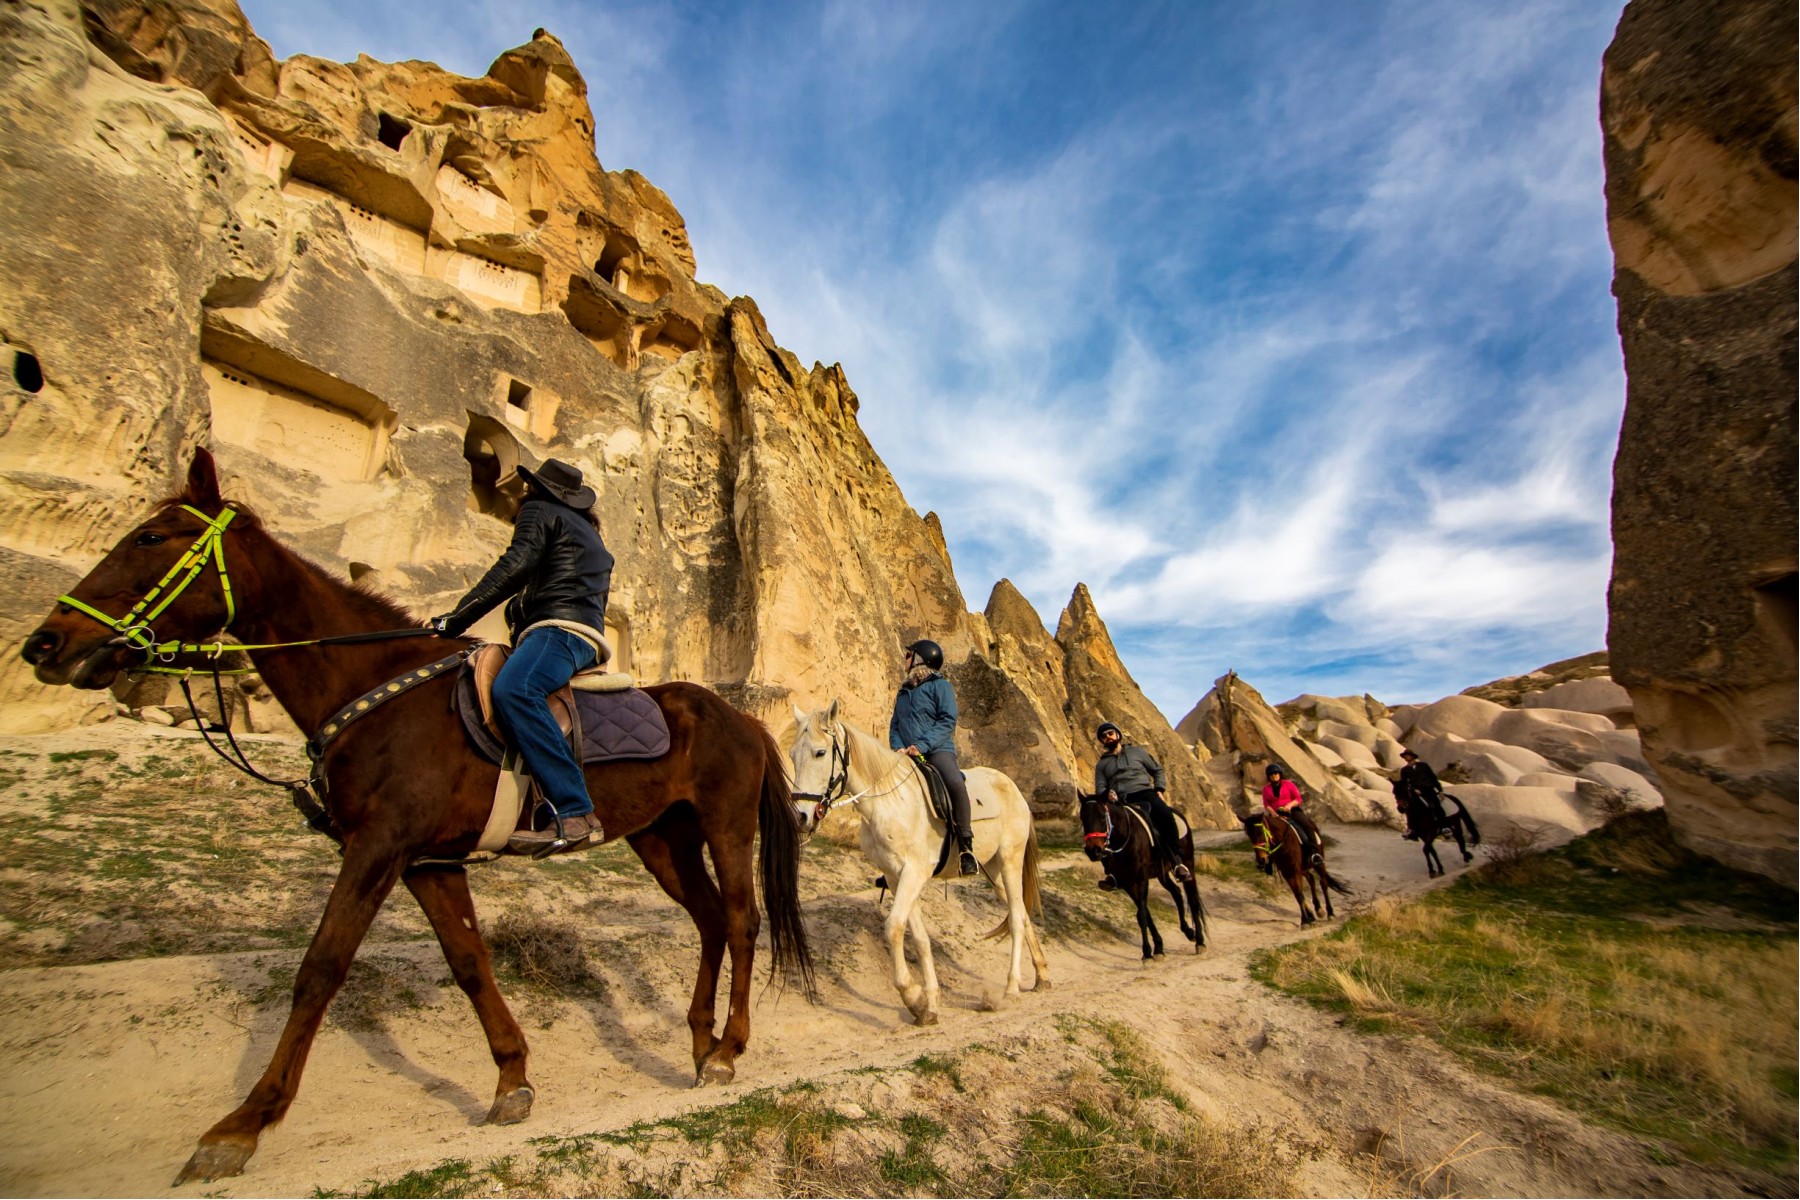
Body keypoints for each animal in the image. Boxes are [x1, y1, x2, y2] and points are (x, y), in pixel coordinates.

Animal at [12, 449, 817, 1180]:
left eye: (151, 537)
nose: (45, 642)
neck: (375, 686)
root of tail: (743, 717)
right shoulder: (428, 862)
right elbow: (469, 964)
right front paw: (511, 1080)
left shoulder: (377, 848)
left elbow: (321, 967)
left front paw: (244, 1123)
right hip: (661, 838)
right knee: (708, 921)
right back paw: (699, 1045)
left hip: (724, 826)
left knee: (741, 921)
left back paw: (728, 1050)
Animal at [792, 698, 1051, 1029]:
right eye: (792, 755)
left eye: (820, 753)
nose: (801, 817)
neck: (888, 802)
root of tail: (1012, 788)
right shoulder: (896, 877)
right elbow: (919, 938)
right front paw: (929, 1005)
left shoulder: (914, 873)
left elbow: (893, 928)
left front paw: (913, 997)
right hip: (994, 871)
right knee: (1022, 913)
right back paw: (1041, 975)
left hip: (1010, 861)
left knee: (1017, 918)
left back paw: (1011, 989)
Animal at [1080, 791, 1209, 964]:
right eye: (1082, 818)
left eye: (1102, 817)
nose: (1093, 851)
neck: (1124, 838)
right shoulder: (1127, 882)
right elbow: (1145, 914)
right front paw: (1158, 948)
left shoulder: (1141, 879)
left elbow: (1141, 916)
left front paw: (1147, 953)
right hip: (1162, 873)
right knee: (1176, 892)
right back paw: (1188, 931)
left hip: (1188, 865)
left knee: (1193, 900)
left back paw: (1200, 942)